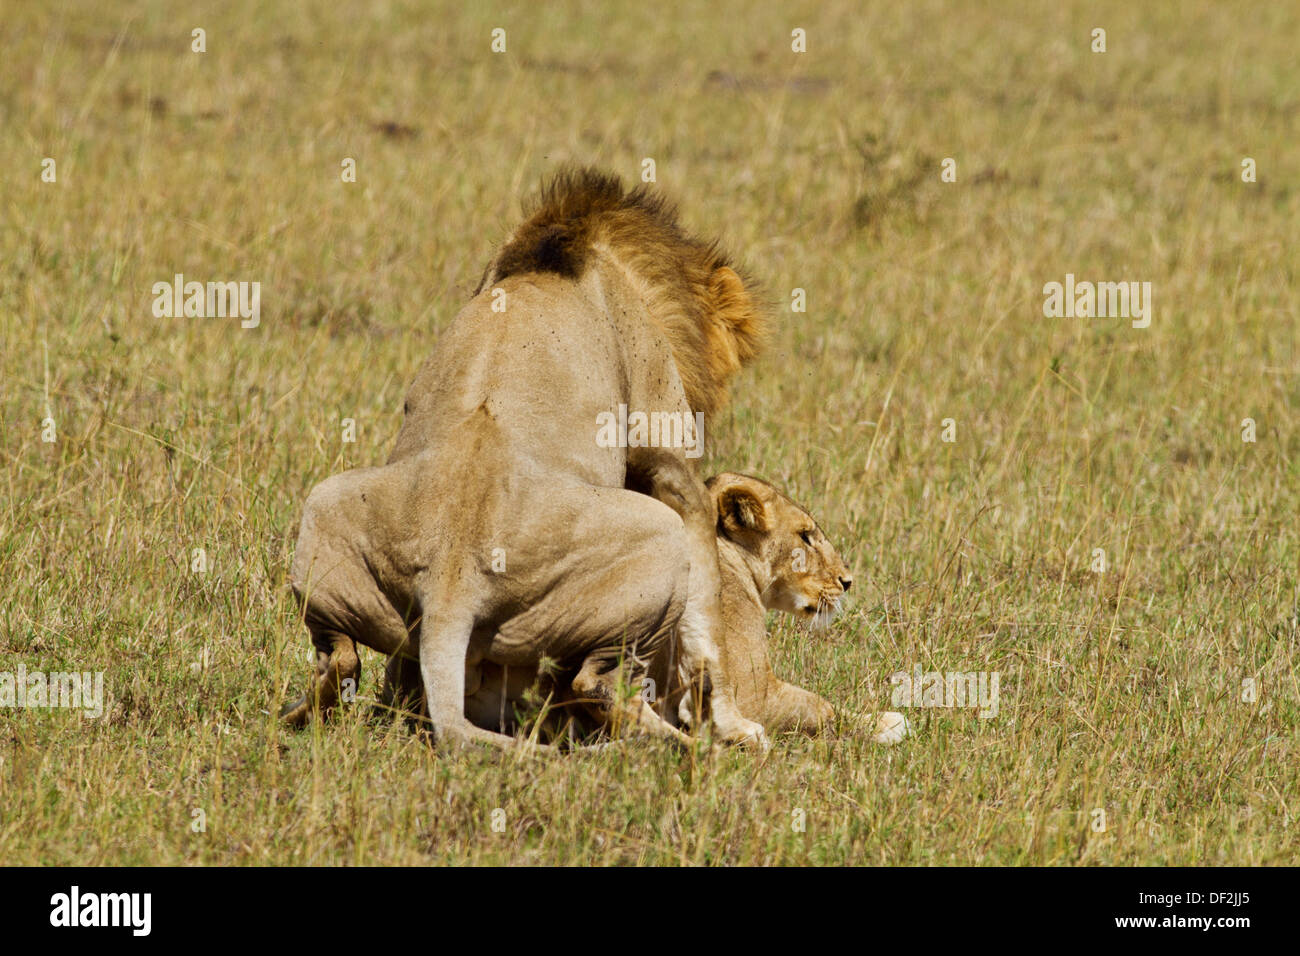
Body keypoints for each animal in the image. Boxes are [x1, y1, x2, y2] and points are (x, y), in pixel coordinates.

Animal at [280, 167, 770, 750]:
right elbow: (707, 618)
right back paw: (684, 746)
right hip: (659, 538)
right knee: (598, 685)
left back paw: (299, 713)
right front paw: (734, 725)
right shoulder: (672, 460)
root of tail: (450, 577)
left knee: (339, 660)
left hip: (324, 504)